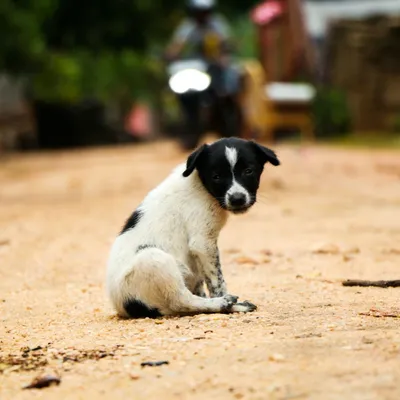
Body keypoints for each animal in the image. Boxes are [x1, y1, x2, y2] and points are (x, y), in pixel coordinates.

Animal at [107, 138, 282, 318]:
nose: (237, 199)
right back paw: (226, 304)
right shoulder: (202, 243)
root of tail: (124, 306)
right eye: (216, 177)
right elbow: (217, 281)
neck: (200, 186)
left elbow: (201, 283)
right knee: (181, 301)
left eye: (248, 171)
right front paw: (223, 297)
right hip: (153, 259)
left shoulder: (197, 257)